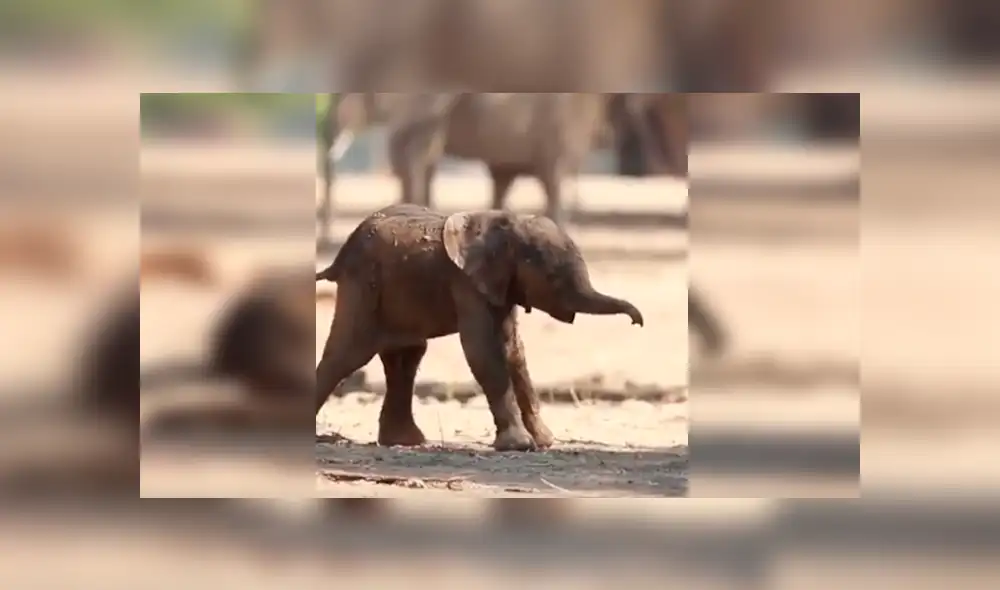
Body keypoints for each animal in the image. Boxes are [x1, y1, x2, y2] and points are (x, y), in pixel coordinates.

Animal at [314, 204, 644, 451]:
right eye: (552, 277)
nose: (637, 321)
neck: (508, 225)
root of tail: (339, 256)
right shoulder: (466, 283)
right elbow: (483, 350)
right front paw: (520, 446)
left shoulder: (501, 284)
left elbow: (513, 351)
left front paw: (545, 442)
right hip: (363, 285)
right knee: (348, 354)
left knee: (407, 357)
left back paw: (406, 442)